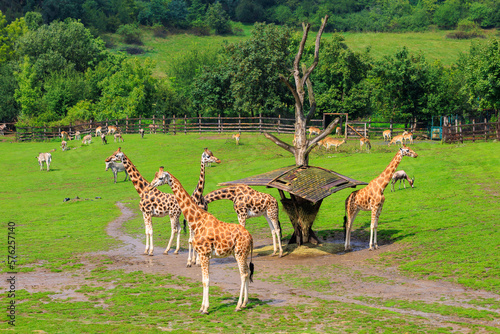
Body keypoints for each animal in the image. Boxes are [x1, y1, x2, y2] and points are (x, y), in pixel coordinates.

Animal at [147, 168, 254, 314]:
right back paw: (244, 303)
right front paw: (202, 307)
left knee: (243, 274)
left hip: (240, 253)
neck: (197, 221)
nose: (150, 186)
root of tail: (250, 237)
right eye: (155, 175)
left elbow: (206, 281)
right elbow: (203, 280)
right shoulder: (205, 255)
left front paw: (205, 308)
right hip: (240, 253)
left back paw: (238, 305)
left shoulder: (204, 254)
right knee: (247, 272)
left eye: (161, 178)